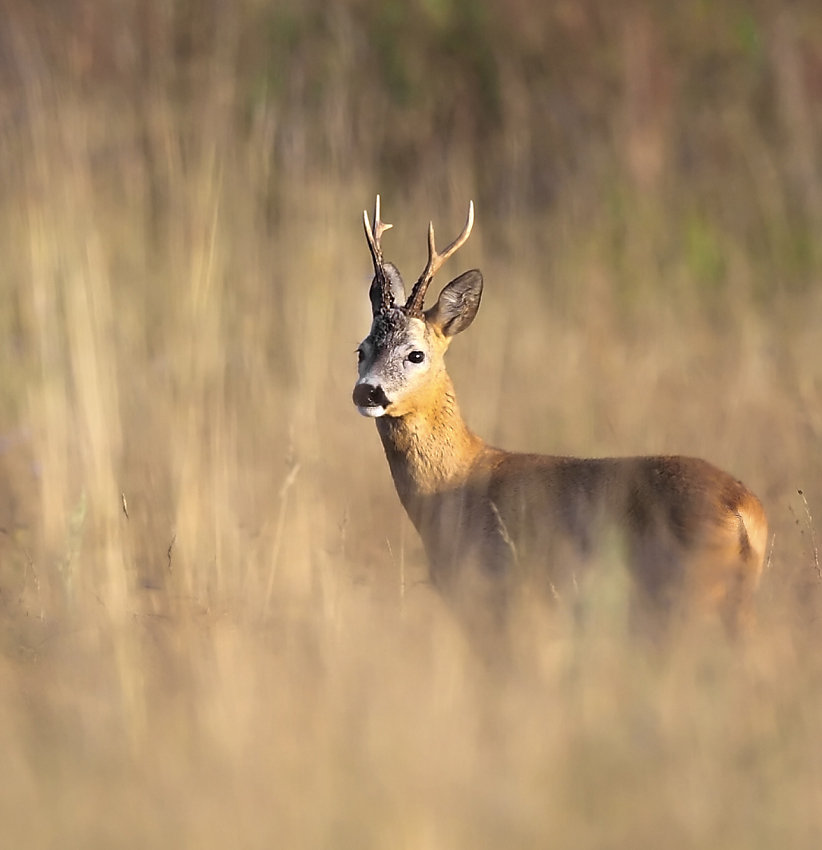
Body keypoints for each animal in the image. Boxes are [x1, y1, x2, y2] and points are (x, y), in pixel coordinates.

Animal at [352, 199, 768, 632]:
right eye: (361, 350)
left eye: (415, 354)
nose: (368, 390)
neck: (456, 482)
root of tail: (744, 510)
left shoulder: (497, 594)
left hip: (688, 596)